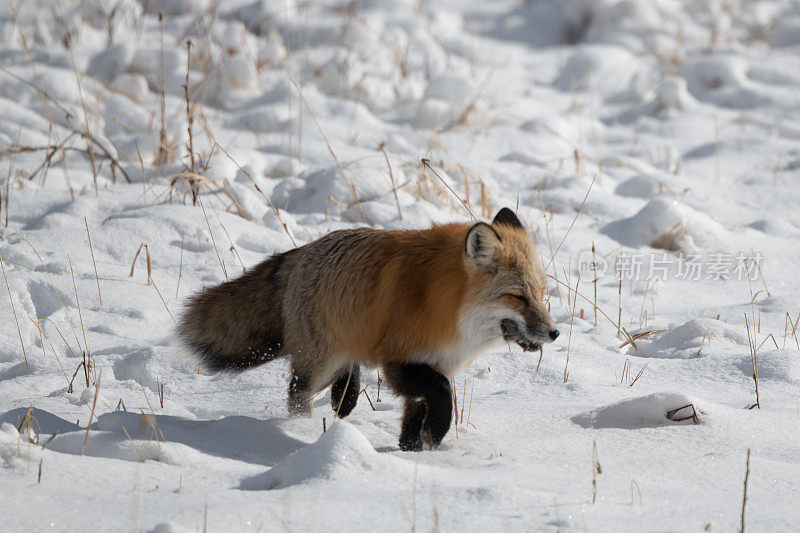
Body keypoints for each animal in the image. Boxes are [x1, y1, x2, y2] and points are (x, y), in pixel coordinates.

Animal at [178, 208, 560, 448]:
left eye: (541, 294)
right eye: (518, 297)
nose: (554, 333)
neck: (448, 307)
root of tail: (305, 250)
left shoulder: (434, 362)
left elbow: (418, 414)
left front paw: (413, 451)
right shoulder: (400, 360)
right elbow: (442, 393)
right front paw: (436, 434)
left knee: (345, 380)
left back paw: (343, 397)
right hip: (319, 364)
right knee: (298, 393)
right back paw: (302, 427)